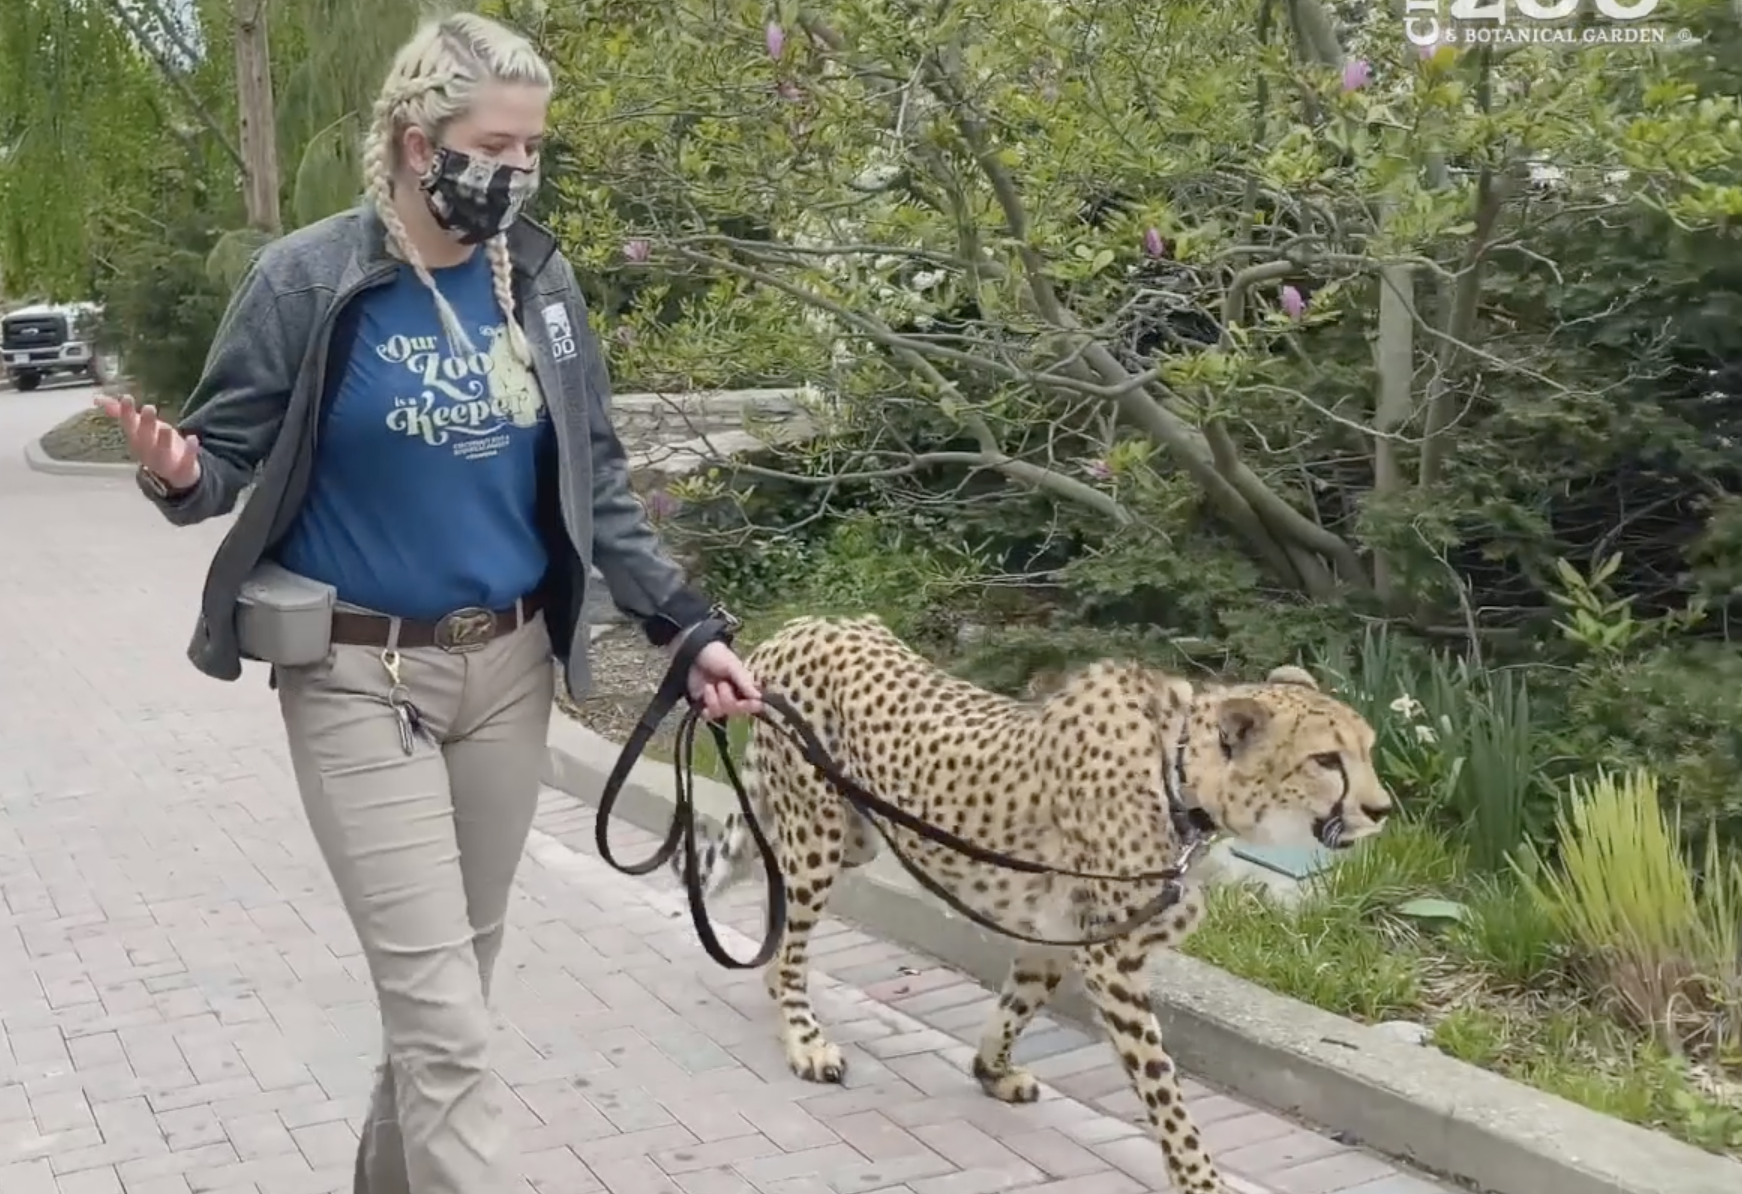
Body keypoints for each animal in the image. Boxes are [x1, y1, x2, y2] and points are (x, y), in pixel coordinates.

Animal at [672, 613, 1393, 1192]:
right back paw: (803, 1038)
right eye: (1327, 760)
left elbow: (1016, 1006)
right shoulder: (1112, 959)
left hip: (848, 833)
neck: (1181, 778)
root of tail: (803, 625)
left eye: (1368, 751)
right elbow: (1163, 1086)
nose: (1384, 810)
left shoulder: (1059, 933)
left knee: (763, 875)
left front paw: (990, 1071)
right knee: (791, 934)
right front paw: (1200, 1179)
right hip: (819, 835)